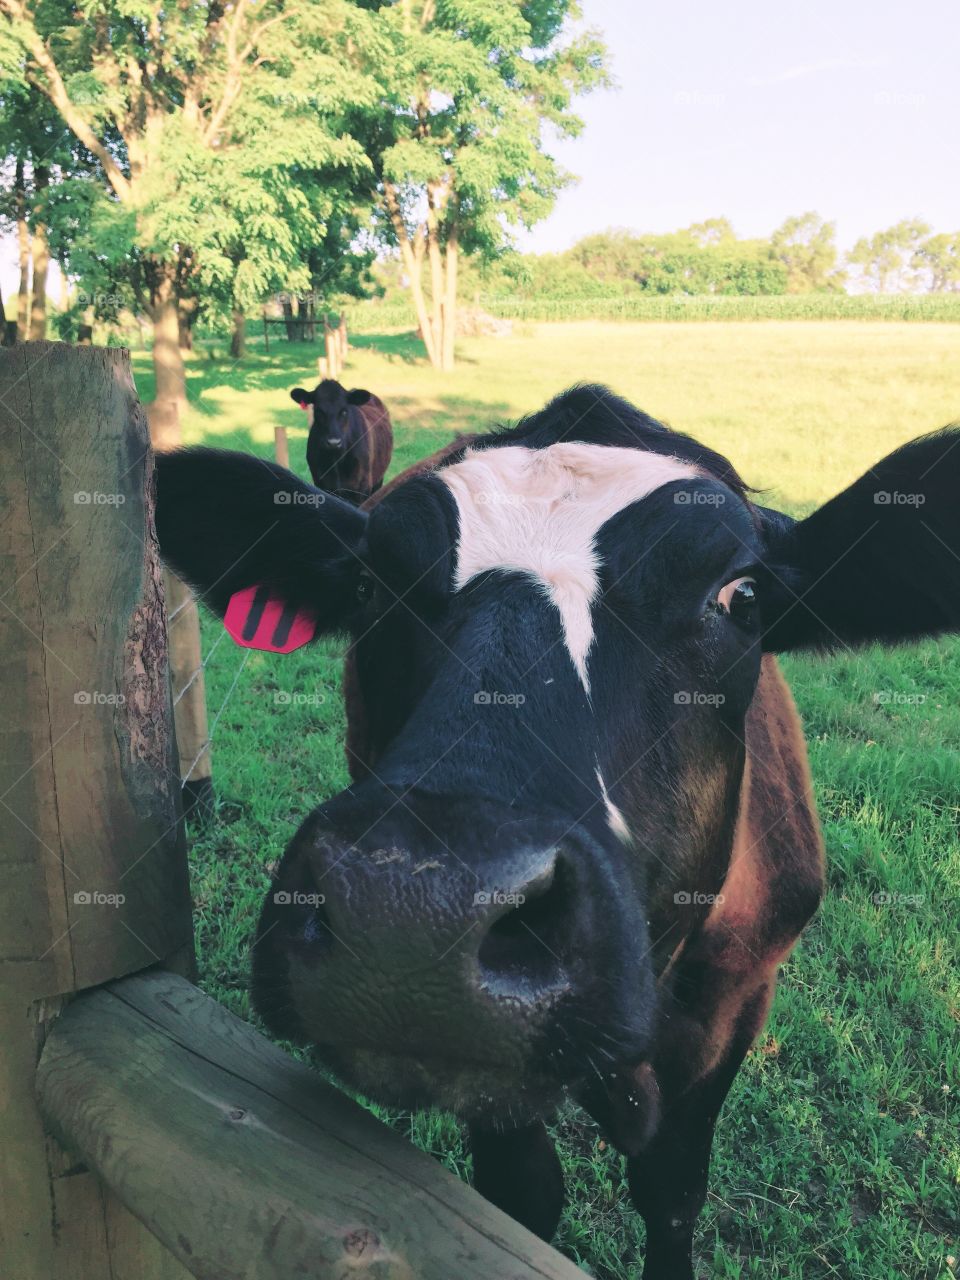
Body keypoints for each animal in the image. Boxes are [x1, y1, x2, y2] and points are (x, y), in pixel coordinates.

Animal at [156, 386, 960, 1280]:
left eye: (741, 598)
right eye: (369, 586)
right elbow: (522, 1195)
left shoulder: (738, 995)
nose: (406, 914)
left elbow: (672, 1190)